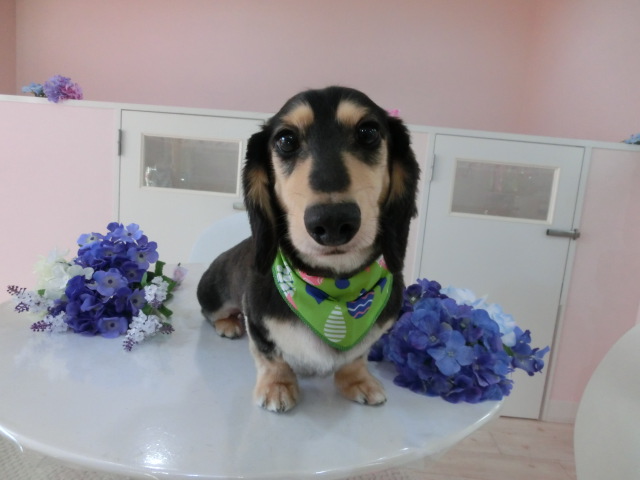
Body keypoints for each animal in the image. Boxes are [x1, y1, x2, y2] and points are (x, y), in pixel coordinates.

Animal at [197, 86, 419, 412]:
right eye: (285, 140)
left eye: (368, 132)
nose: (332, 221)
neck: (336, 285)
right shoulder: (259, 323)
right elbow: (270, 355)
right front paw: (277, 386)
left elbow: (357, 357)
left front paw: (358, 380)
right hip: (213, 296)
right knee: (213, 314)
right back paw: (228, 324)